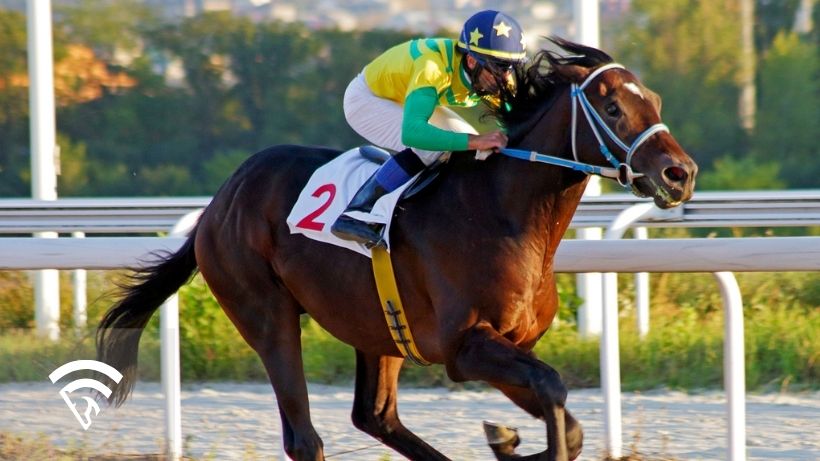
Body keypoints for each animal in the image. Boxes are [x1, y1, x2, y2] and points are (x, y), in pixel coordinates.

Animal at [96, 37, 696, 461]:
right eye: (613, 109)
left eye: (655, 101)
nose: (681, 173)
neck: (503, 214)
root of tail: (219, 202)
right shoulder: (463, 347)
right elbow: (553, 391)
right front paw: (507, 441)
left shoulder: (510, 345)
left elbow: (564, 421)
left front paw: (505, 440)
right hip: (264, 312)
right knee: (305, 437)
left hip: (378, 326)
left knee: (376, 417)